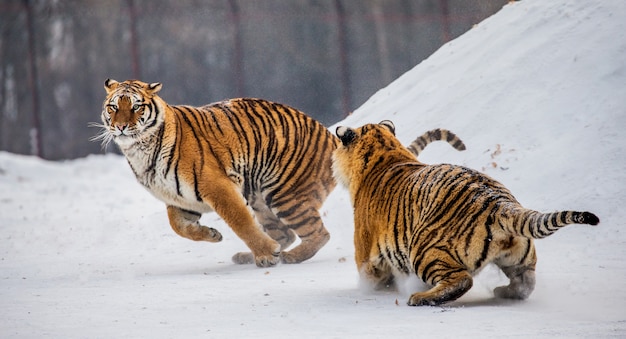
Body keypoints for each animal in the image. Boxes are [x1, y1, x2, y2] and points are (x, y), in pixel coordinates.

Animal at [94, 79, 464, 268]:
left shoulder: (217, 186)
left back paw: (284, 257)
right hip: (260, 197)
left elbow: (239, 221)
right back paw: (253, 255)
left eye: (136, 106)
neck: (140, 150)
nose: (121, 126)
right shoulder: (177, 197)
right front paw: (212, 235)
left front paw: (261, 249)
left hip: (283, 193)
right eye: (113, 106)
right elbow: (180, 227)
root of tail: (333, 136)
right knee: (284, 232)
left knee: (318, 233)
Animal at [332, 120, 600, 308]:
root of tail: (499, 202)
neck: (385, 153)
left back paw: (419, 297)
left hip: (424, 249)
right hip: (519, 256)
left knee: (461, 280)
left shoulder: (365, 253)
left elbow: (369, 275)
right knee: (526, 282)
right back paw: (503, 292)